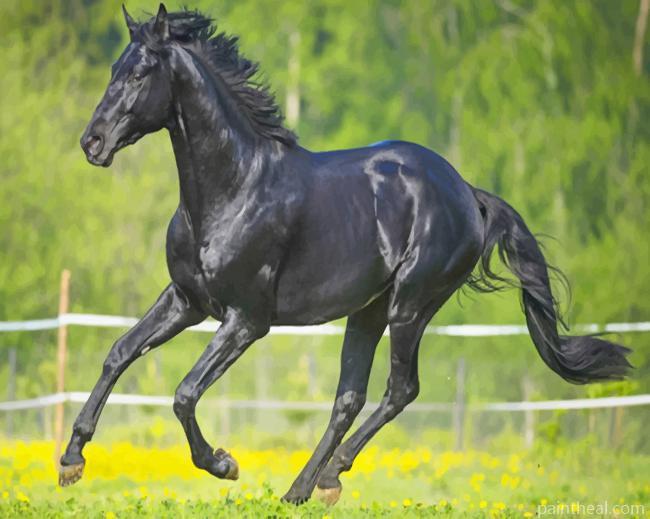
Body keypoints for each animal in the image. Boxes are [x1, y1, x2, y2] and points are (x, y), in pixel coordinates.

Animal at [59, 4, 631, 505]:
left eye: (141, 73)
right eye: (114, 69)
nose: (92, 143)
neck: (233, 190)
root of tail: (468, 192)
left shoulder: (246, 319)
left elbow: (184, 393)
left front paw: (224, 463)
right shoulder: (186, 300)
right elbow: (119, 353)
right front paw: (71, 461)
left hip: (410, 306)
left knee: (400, 390)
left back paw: (325, 477)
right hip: (368, 311)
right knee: (349, 398)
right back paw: (304, 489)